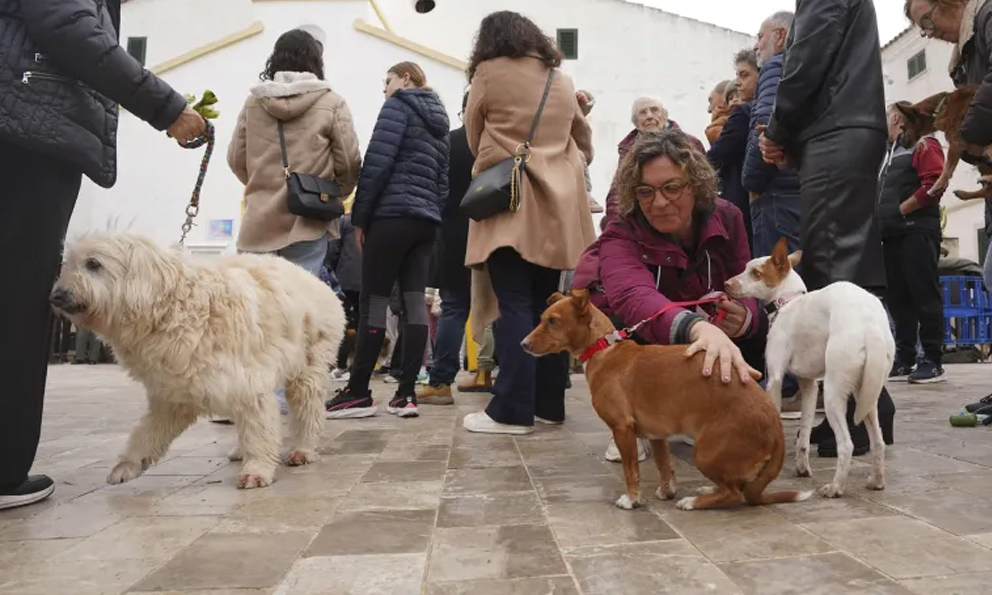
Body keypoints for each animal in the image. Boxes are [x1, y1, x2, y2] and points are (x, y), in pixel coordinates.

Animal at [50, 232, 345, 489]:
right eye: (68, 263)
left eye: (93, 264)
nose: (56, 296)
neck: (174, 309)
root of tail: (317, 280)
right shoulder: (173, 396)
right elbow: (147, 433)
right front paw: (127, 465)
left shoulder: (248, 384)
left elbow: (260, 428)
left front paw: (257, 470)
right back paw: (240, 450)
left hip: (307, 368)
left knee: (308, 411)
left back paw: (302, 449)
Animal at [521, 289, 811, 511]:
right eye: (543, 319)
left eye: (553, 321)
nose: (523, 344)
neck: (603, 348)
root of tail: (775, 429)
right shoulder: (656, 434)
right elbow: (664, 465)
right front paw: (666, 491)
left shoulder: (623, 428)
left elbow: (631, 470)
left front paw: (632, 500)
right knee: (732, 485)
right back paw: (706, 489)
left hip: (706, 452)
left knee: (733, 492)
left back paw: (693, 502)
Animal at [724, 237, 892, 498]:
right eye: (745, 268)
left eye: (756, 273)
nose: (726, 284)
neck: (787, 303)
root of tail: (869, 323)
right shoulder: (810, 384)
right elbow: (803, 432)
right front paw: (802, 469)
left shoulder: (775, 378)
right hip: (866, 394)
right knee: (878, 442)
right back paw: (876, 481)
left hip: (834, 394)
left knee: (846, 444)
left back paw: (836, 487)